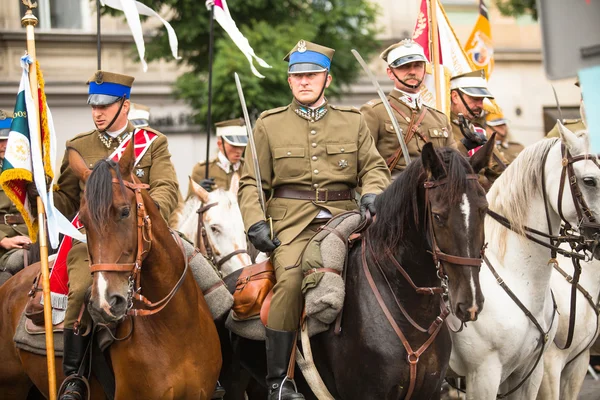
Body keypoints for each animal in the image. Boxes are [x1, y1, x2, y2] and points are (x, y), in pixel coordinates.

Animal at [218, 142, 494, 398]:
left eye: (483, 209)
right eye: (437, 216)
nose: (469, 302)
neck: (410, 310)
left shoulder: (430, 392)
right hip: (232, 382)